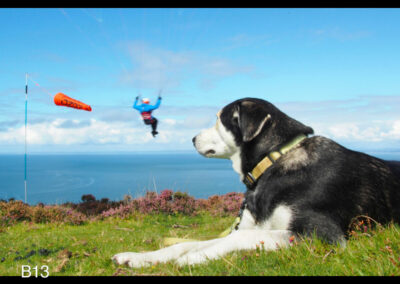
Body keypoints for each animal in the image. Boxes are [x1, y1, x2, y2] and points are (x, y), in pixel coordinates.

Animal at [111, 97, 400, 266]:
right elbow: (187, 242)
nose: (192, 138)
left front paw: (195, 257)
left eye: (219, 119)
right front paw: (139, 258)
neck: (272, 162)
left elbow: (239, 238)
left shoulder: (322, 236)